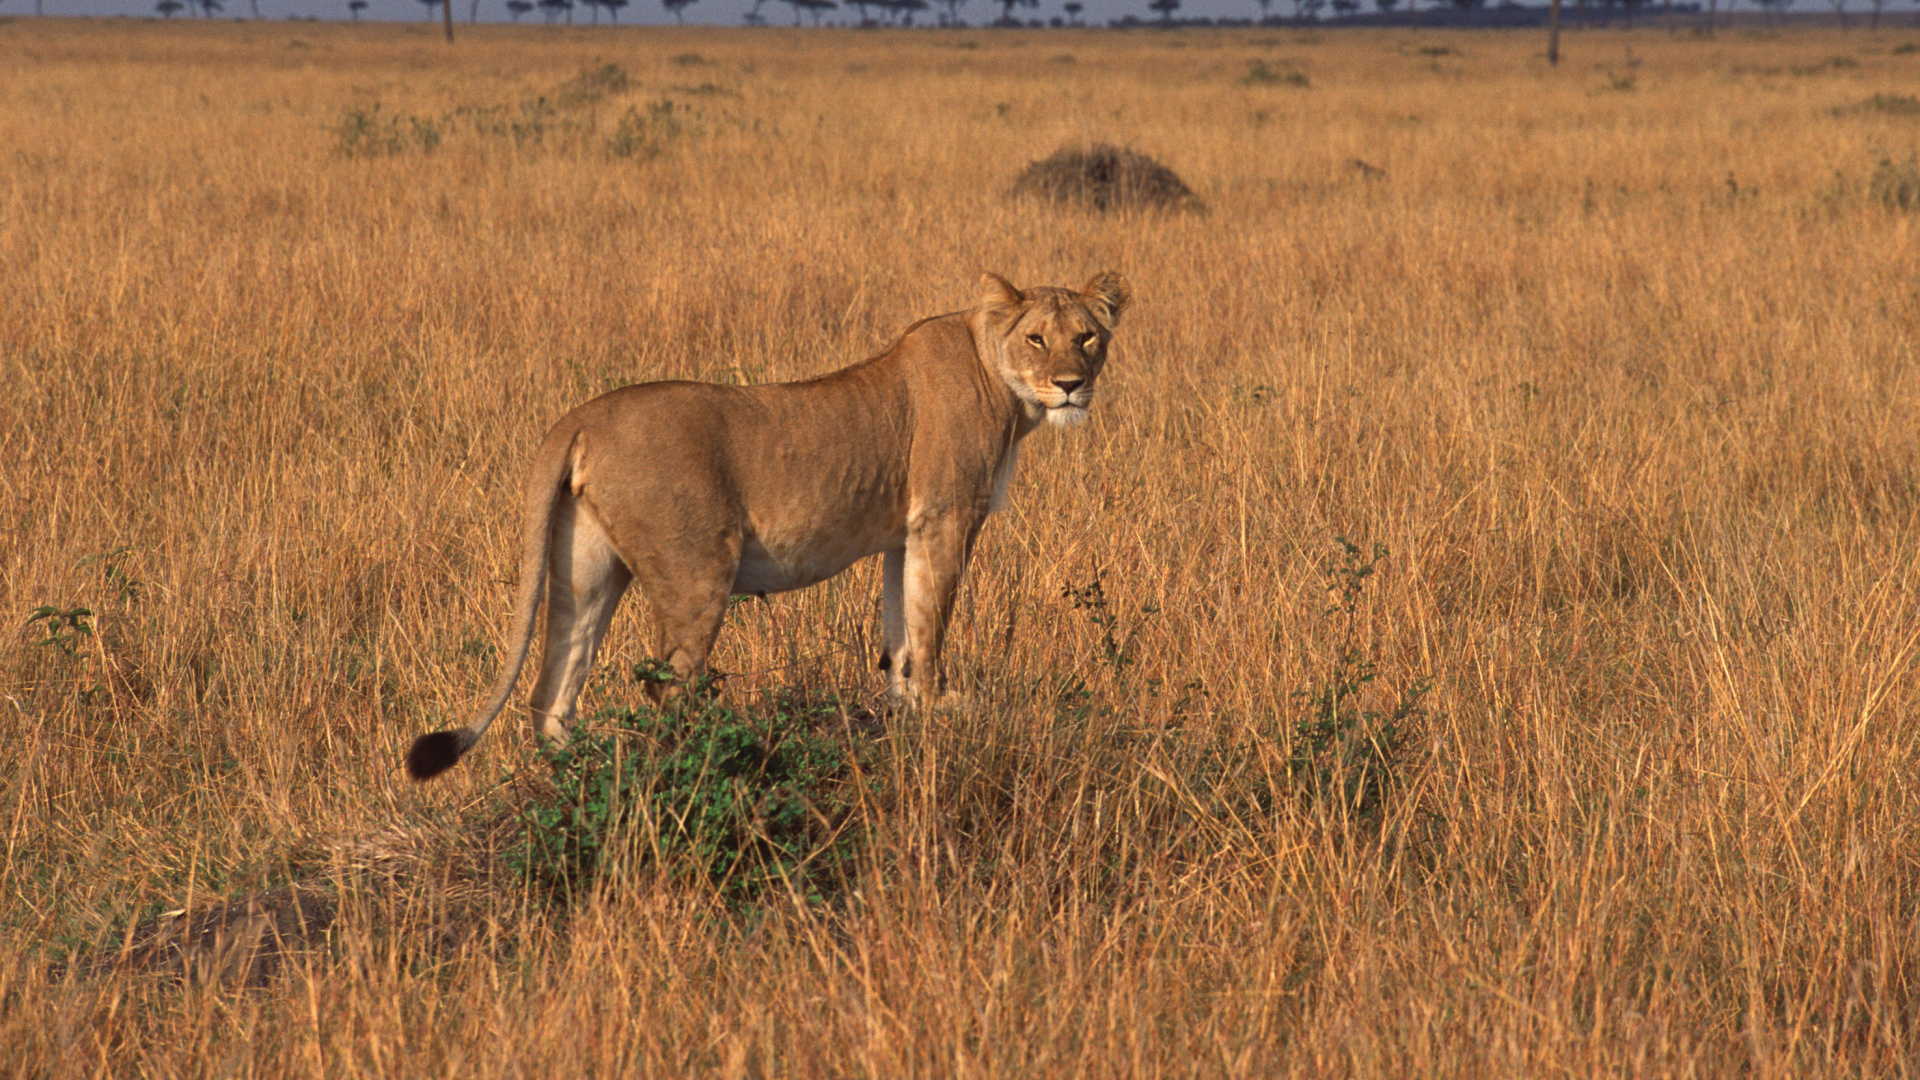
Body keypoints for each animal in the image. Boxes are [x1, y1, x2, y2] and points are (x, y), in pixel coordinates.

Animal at [404, 271, 1130, 780]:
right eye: (1036, 338)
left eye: (1088, 337)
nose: (1071, 384)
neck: (998, 375)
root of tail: (579, 417)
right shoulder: (945, 518)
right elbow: (930, 625)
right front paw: (937, 715)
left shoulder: (903, 534)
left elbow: (900, 627)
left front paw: (903, 709)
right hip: (696, 571)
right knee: (664, 685)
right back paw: (690, 768)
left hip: (585, 569)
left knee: (552, 691)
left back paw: (573, 781)